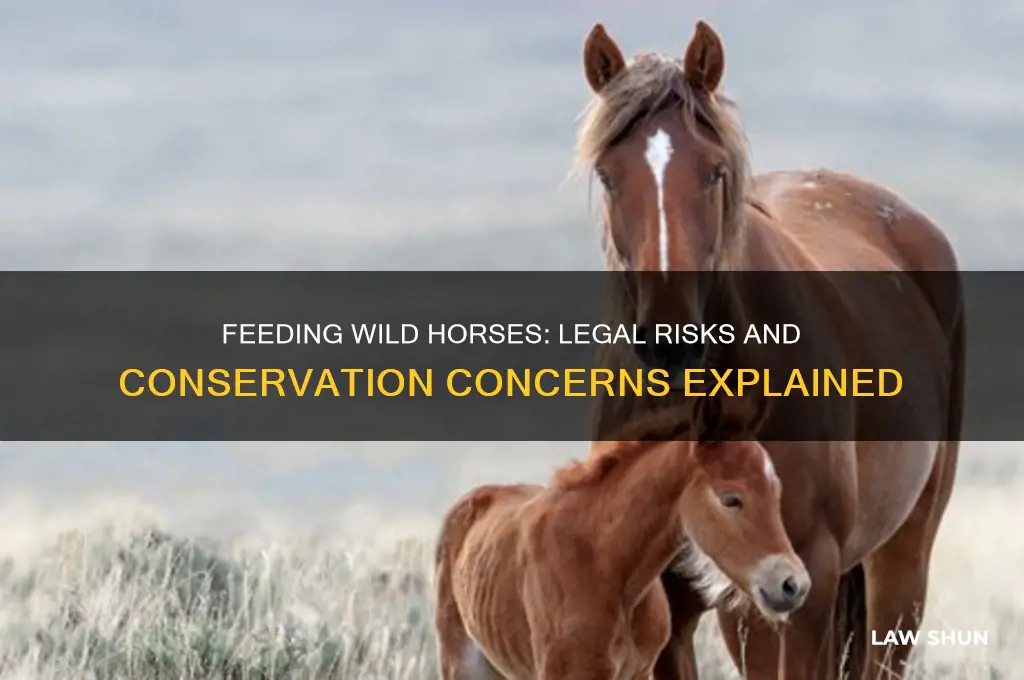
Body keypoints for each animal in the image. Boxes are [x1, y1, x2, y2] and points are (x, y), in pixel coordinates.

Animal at [574, 20, 964, 680]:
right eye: (608, 175)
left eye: (713, 172)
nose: (669, 335)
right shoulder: (674, 596)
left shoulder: (805, 580)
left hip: (897, 568)